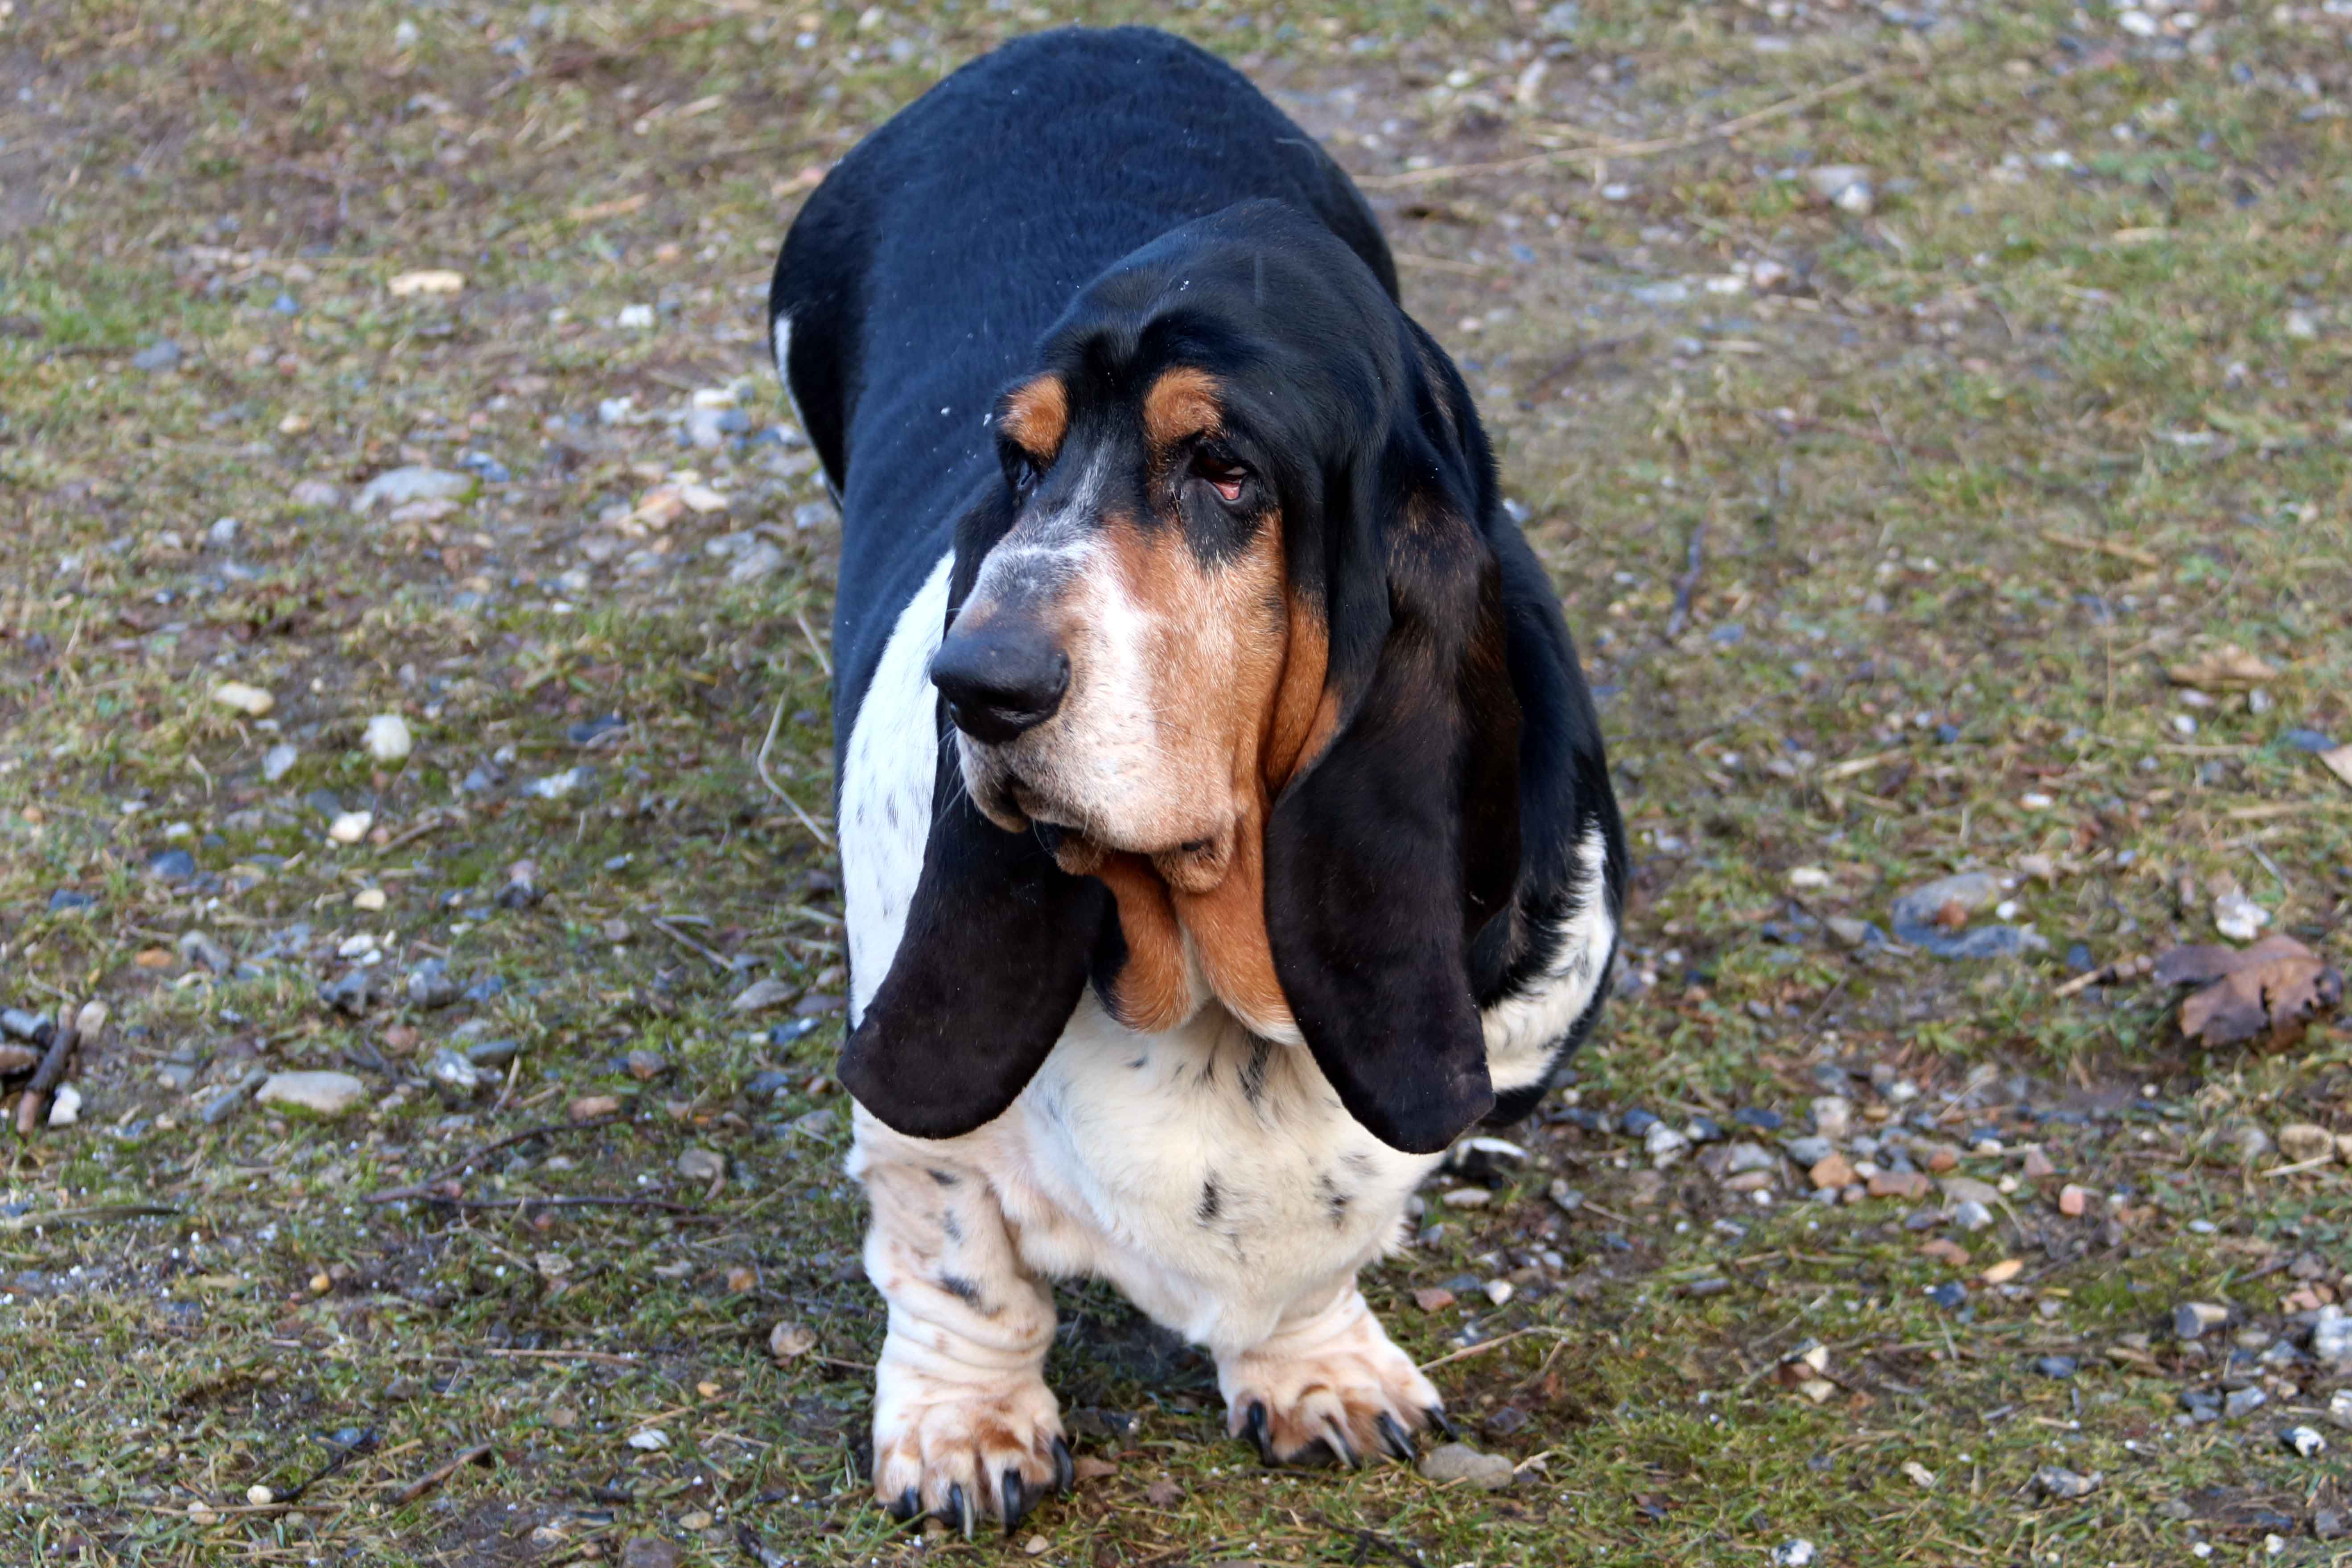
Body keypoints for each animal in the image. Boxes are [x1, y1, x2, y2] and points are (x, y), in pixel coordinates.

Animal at [771, 30, 1618, 1542]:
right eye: (1021, 459)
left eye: (1224, 470)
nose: (972, 681)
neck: (1215, 996)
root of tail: (1075, 40)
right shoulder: (919, 1118)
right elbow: (953, 1249)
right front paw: (963, 1426)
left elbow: (1334, 1234)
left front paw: (1319, 1366)